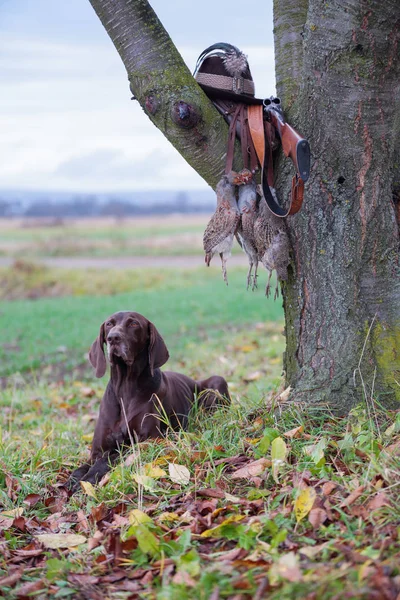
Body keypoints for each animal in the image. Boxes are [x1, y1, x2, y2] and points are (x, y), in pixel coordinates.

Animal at [68, 312, 231, 490]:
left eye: (133, 324)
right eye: (109, 324)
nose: (113, 338)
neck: (125, 389)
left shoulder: (150, 440)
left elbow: (111, 456)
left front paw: (89, 478)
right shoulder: (97, 450)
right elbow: (83, 467)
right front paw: (74, 480)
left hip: (218, 381)